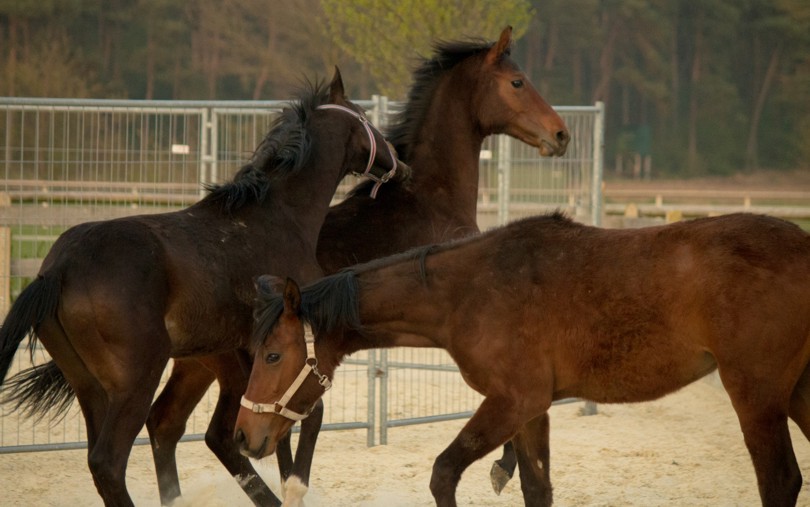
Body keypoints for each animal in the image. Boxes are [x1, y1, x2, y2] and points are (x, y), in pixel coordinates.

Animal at [0, 68, 408, 507]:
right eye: (365, 117)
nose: (399, 163)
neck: (278, 217)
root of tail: (58, 269)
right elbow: (302, 416)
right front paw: (293, 489)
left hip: (91, 388)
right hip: (136, 380)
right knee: (110, 460)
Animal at [152, 25, 568, 506]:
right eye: (517, 82)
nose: (561, 134)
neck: (430, 198)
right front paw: (503, 467)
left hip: (198, 365)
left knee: (170, 426)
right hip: (231, 369)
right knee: (222, 433)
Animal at [237, 212, 808, 506]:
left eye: (272, 354)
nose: (244, 435)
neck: (469, 290)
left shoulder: (513, 401)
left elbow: (443, 473)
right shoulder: (533, 411)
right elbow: (537, 488)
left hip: (756, 396)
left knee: (780, 482)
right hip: (798, 393)